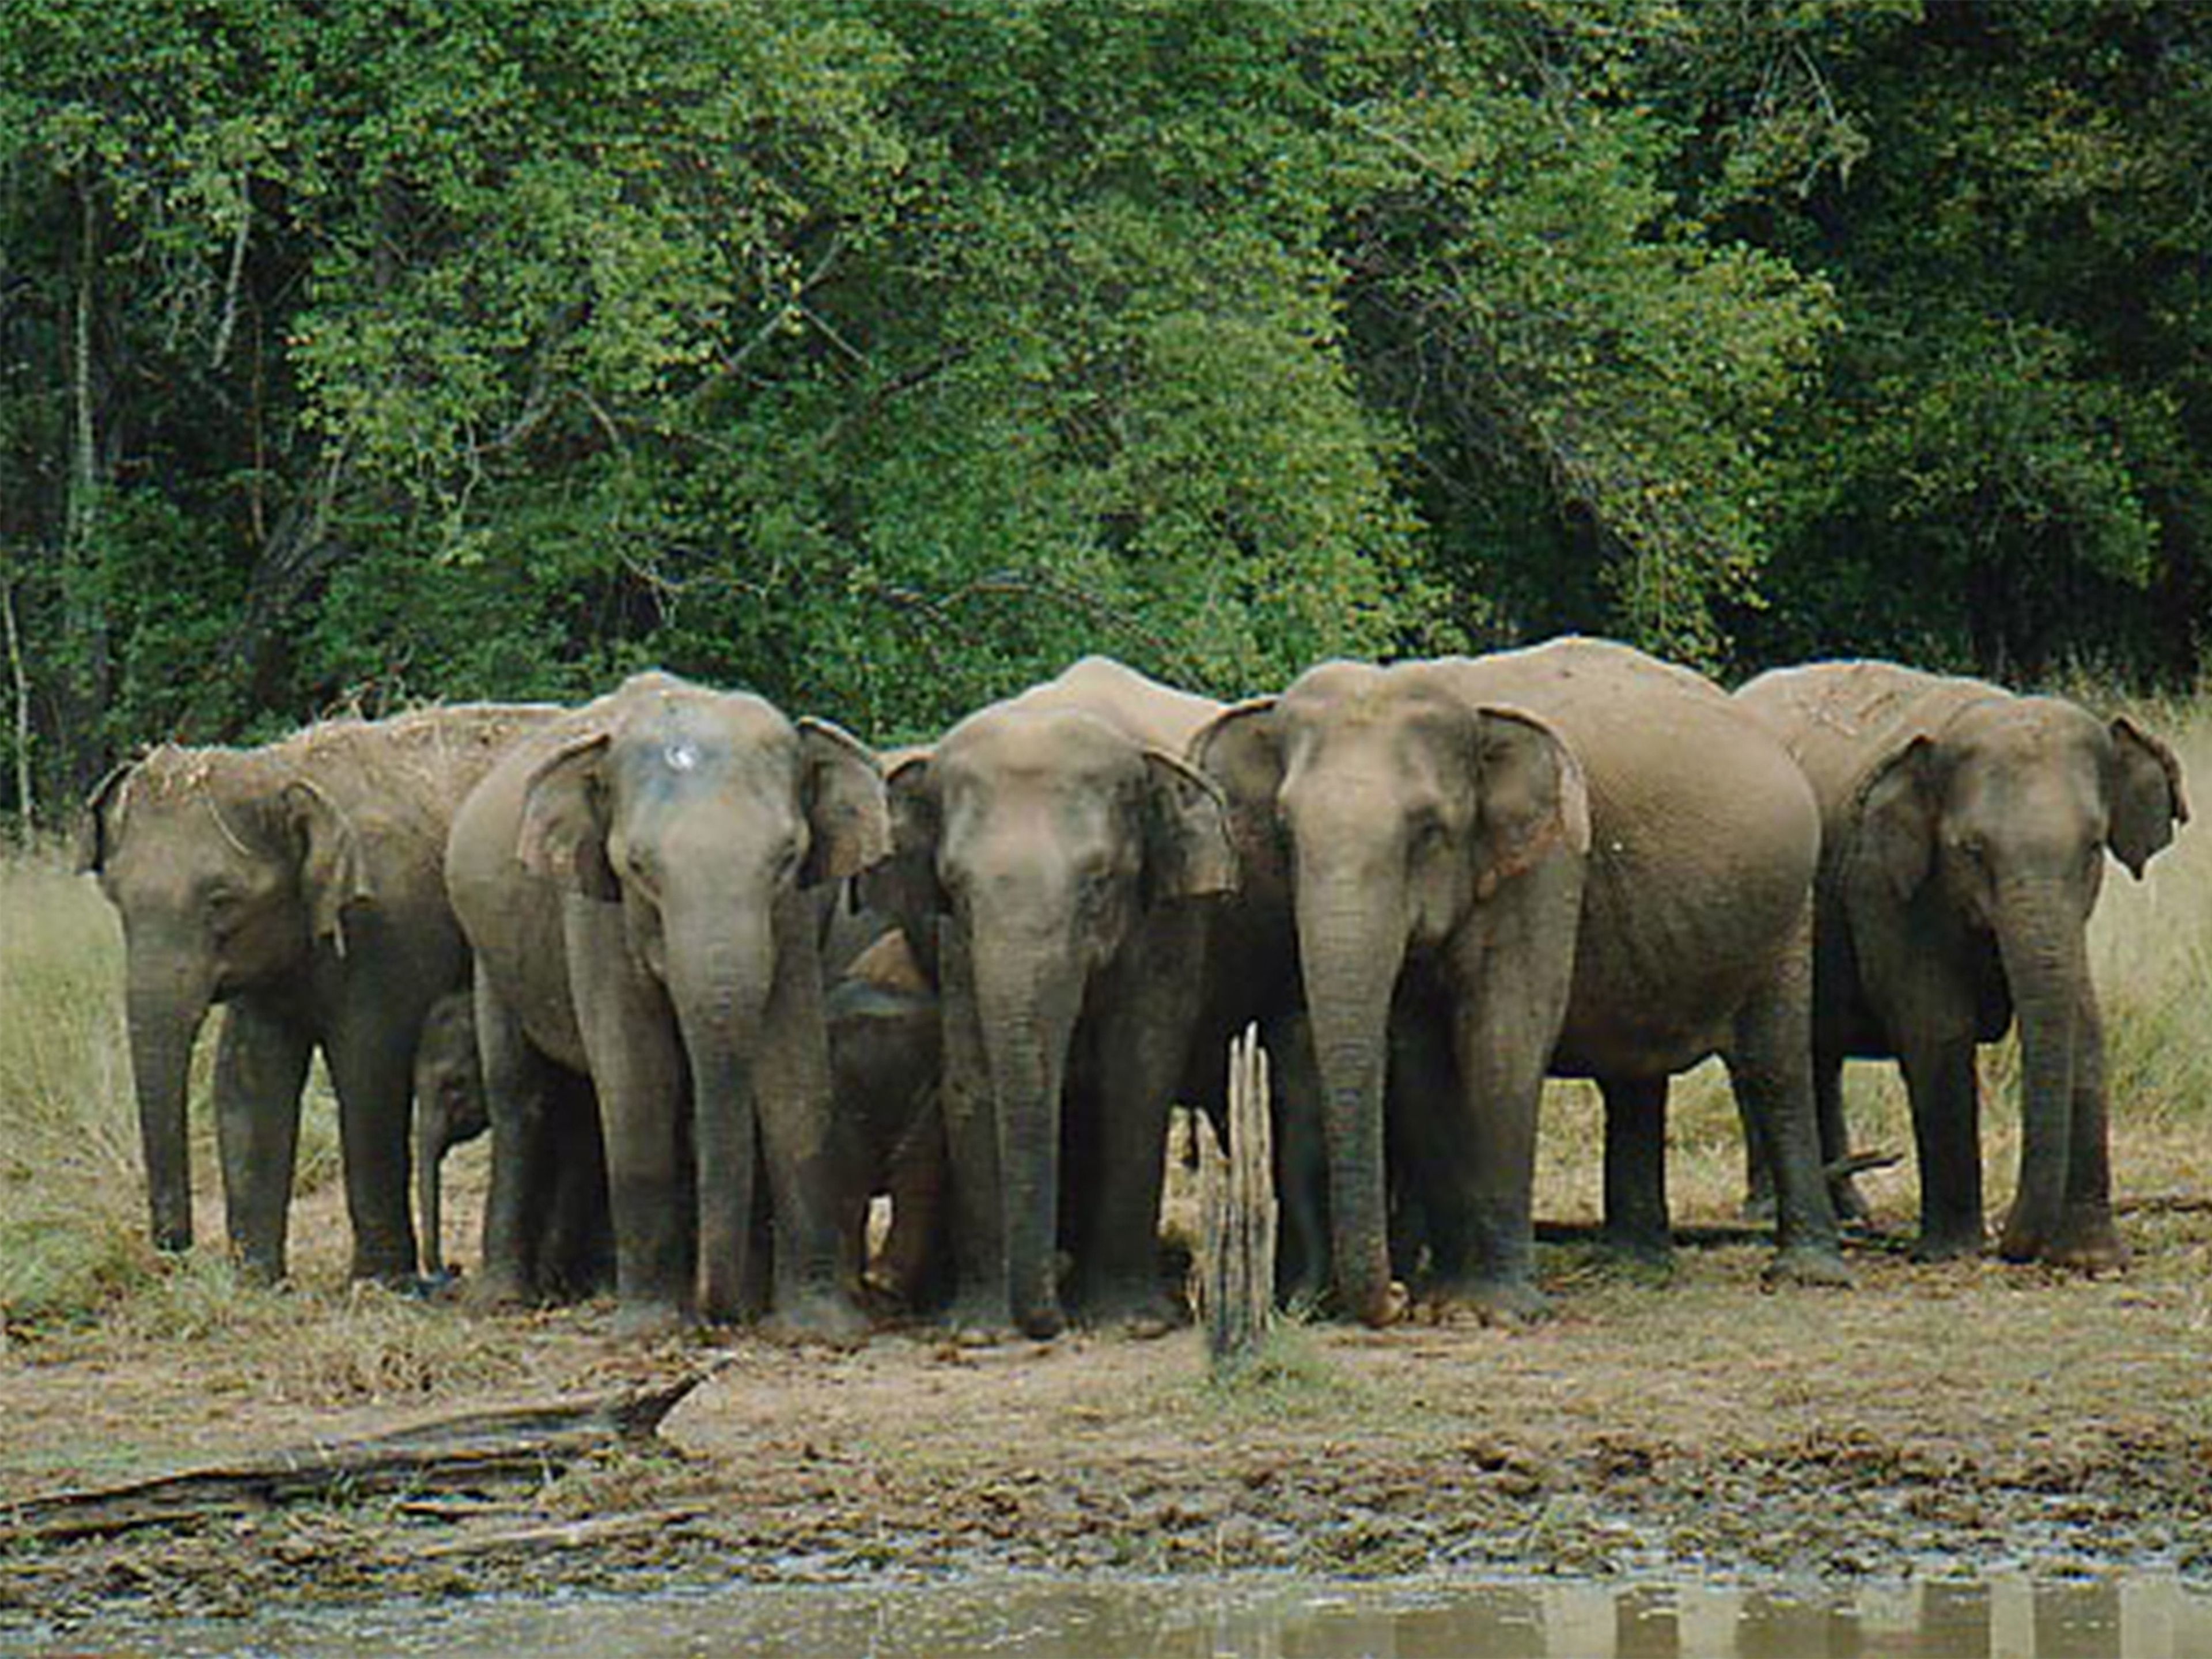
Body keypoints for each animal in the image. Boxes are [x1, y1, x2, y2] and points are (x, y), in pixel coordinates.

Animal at [78, 703, 558, 1283]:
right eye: (116, 900)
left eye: (222, 900)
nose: (176, 1246)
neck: (287, 771)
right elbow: (248, 1076)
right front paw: (256, 1280)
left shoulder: (390, 928)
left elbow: (367, 1069)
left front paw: (377, 1282)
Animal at [444, 670, 888, 1338]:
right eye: (637, 866)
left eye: (787, 857)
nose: (720, 1314)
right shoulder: (593, 907)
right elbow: (639, 1076)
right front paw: (651, 1328)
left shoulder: (794, 918)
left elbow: (795, 1071)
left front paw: (821, 1329)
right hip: (490, 954)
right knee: (520, 1094)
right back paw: (506, 1301)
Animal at [865, 656, 1236, 1340]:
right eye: (955, 887)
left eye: (1100, 883)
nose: (1049, 1322)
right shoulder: (952, 940)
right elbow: (969, 1068)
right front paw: (979, 1330)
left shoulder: (1172, 915)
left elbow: (1140, 1069)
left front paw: (1134, 1325)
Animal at [1194, 637, 1849, 1327]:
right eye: (1285, 834)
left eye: (1429, 830)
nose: (1394, 1295)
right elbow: (1422, 1057)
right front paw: (1445, 1302)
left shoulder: (1548, 857)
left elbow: (1502, 1036)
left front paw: (1495, 1312)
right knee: (1633, 1077)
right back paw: (1634, 1268)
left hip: (1790, 911)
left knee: (1773, 1066)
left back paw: (1806, 1274)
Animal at [1736, 662, 2187, 1268]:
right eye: (1972, 851)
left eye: (2093, 847)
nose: (2011, 1241)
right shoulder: (1885, 883)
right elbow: (1938, 1027)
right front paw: (1953, 1252)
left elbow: (2087, 1030)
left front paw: (2092, 1259)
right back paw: (1772, 1213)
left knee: (1818, 1054)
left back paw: (1853, 1214)